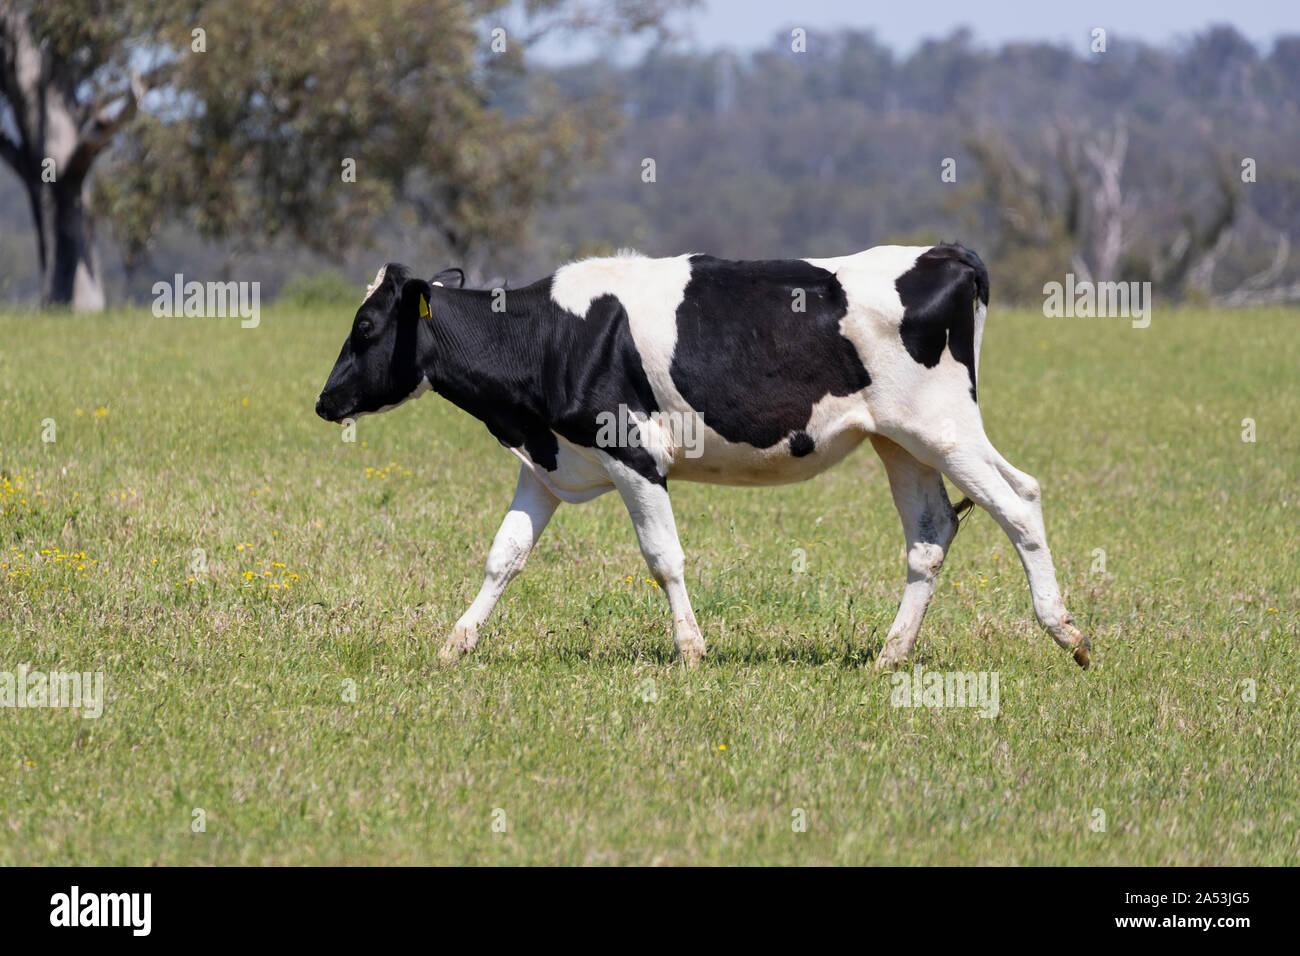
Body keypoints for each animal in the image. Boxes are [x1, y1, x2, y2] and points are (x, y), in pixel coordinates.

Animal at [315, 245, 1091, 670]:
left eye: (366, 324)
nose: (324, 402)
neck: (549, 336)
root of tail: (943, 253)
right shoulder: (548, 463)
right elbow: (503, 557)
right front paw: (456, 644)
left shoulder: (632, 453)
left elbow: (664, 558)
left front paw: (690, 651)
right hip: (899, 441)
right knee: (931, 534)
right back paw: (888, 654)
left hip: (945, 428)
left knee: (1019, 499)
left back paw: (1067, 633)